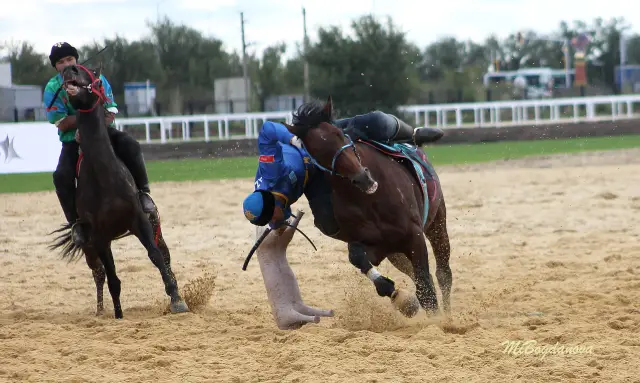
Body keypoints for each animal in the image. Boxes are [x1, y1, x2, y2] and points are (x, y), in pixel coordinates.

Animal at [47, 64, 189, 320]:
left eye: (96, 78)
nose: (70, 69)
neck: (105, 178)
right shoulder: (100, 236)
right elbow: (112, 277)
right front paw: (118, 314)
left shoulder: (139, 220)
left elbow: (156, 257)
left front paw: (177, 300)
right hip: (88, 245)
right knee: (99, 273)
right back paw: (100, 309)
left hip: (154, 226)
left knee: (165, 256)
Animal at [284, 97, 450, 318]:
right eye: (317, 151)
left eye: (340, 135)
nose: (362, 177)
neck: (369, 200)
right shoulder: (377, 245)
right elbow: (357, 256)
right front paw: (396, 294)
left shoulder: (414, 236)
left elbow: (425, 285)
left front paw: (438, 321)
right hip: (395, 251)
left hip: (437, 220)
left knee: (443, 274)